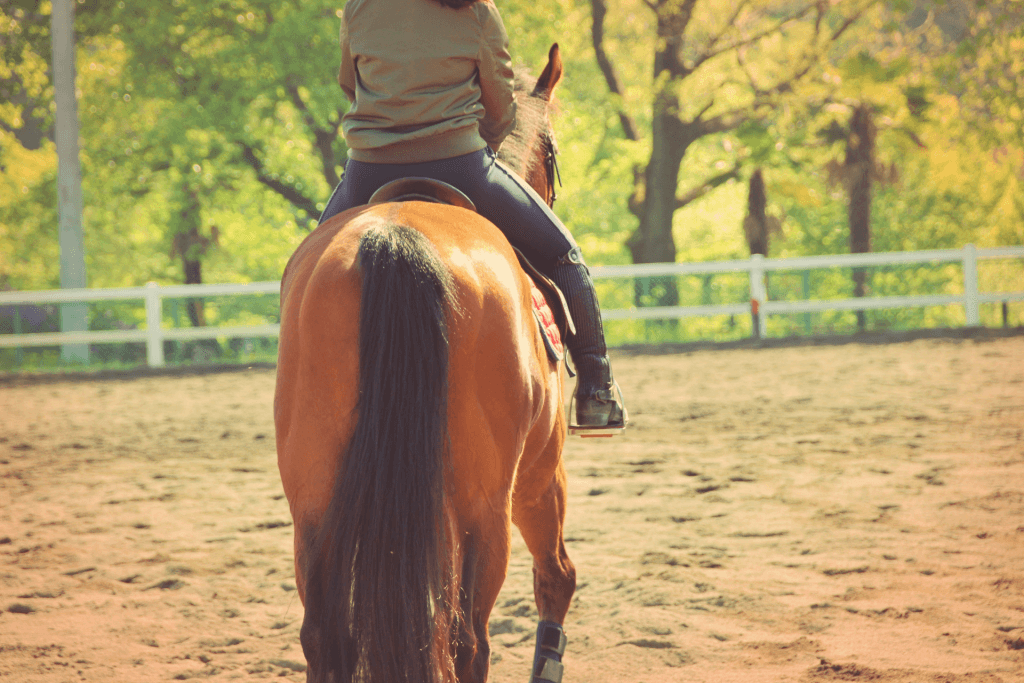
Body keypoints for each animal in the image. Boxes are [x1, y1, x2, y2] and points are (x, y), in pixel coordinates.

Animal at [274, 44, 576, 683]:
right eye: (554, 152)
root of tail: (396, 237)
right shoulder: (540, 471)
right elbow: (557, 577)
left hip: (314, 501)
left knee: (324, 635)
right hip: (489, 505)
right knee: (470, 641)